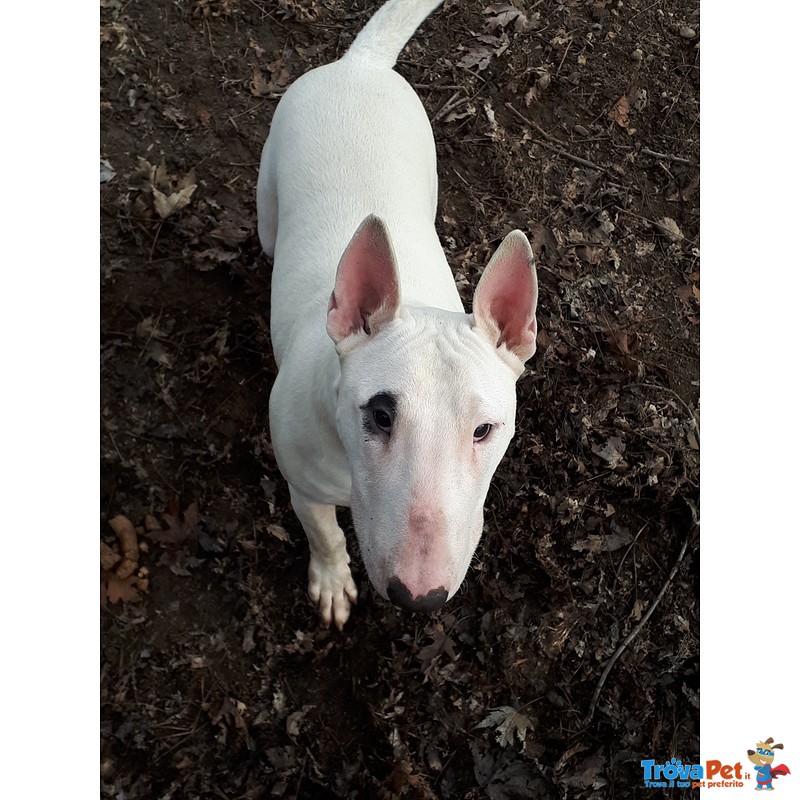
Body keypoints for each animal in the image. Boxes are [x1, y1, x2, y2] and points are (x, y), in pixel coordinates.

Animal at [256, 0, 536, 632]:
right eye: (380, 415)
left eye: (485, 430)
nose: (419, 596)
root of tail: (359, 65)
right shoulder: (301, 484)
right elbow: (326, 533)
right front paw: (332, 582)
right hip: (268, 192)